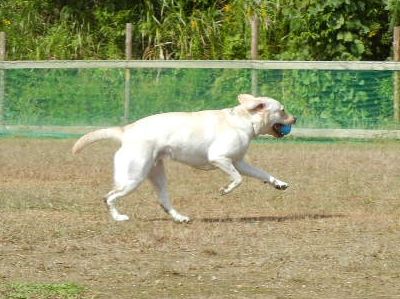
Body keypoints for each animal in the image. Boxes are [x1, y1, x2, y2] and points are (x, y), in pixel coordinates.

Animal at [73, 94, 296, 223]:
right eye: (282, 110)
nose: (295, 119)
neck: (244, 121)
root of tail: (126, 131)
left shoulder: (239, 163)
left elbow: (263, 173)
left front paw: (279, 183)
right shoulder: (219, 158)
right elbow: (237, 180)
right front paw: (225, 189)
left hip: (157, 175)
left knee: (164, 201)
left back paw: (179, 217)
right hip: (133, 178)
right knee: (109, 197)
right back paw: (119, 217)